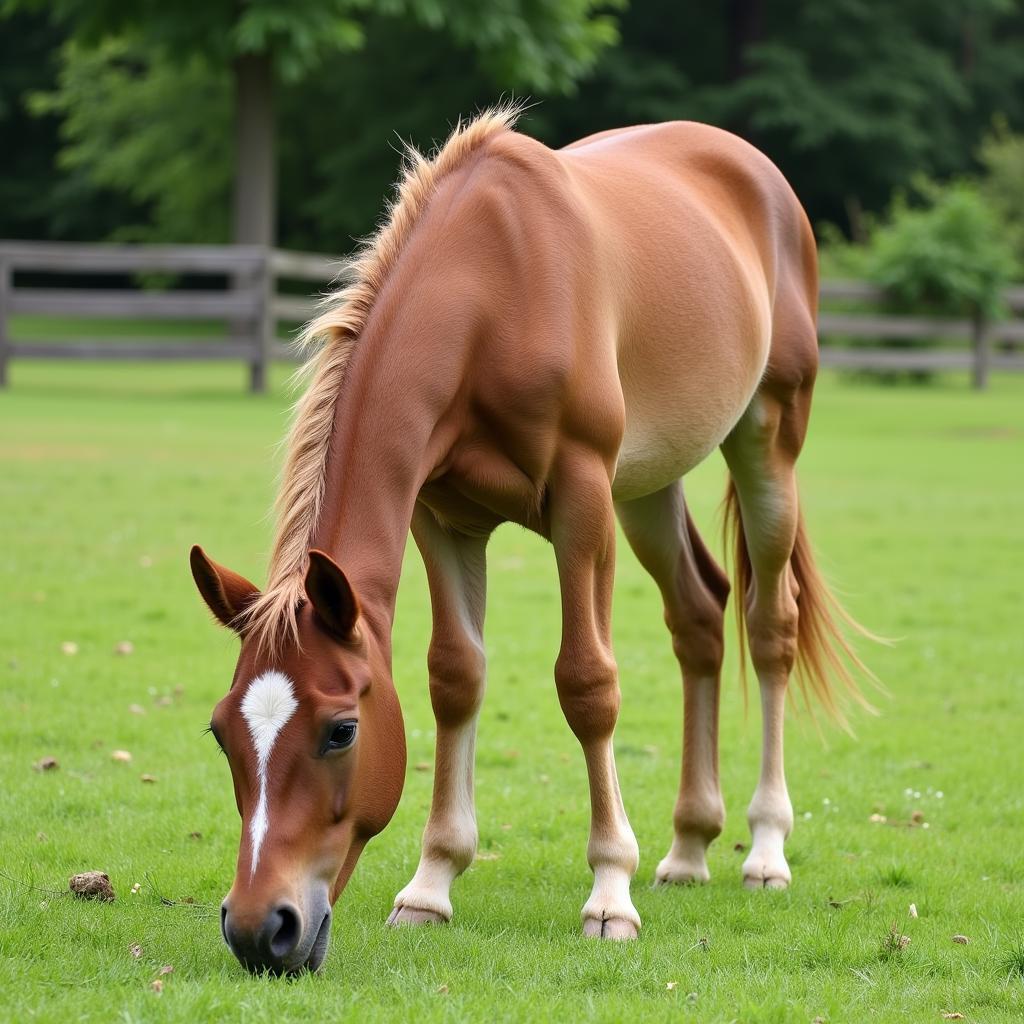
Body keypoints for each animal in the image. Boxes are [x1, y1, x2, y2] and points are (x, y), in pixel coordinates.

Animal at [190, 105, 872, 974]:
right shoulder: (443, 517)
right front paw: (431, 885)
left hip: (765, 443)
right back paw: (688, 847)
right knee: (698, 616)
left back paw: (763, 848)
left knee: (768, 626)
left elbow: (587, 683)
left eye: (342, 730)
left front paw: (609, 894)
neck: (491, 290)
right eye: (221, 733)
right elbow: (456, 676)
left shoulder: (582, 502)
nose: (259, 928)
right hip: (648, 485)